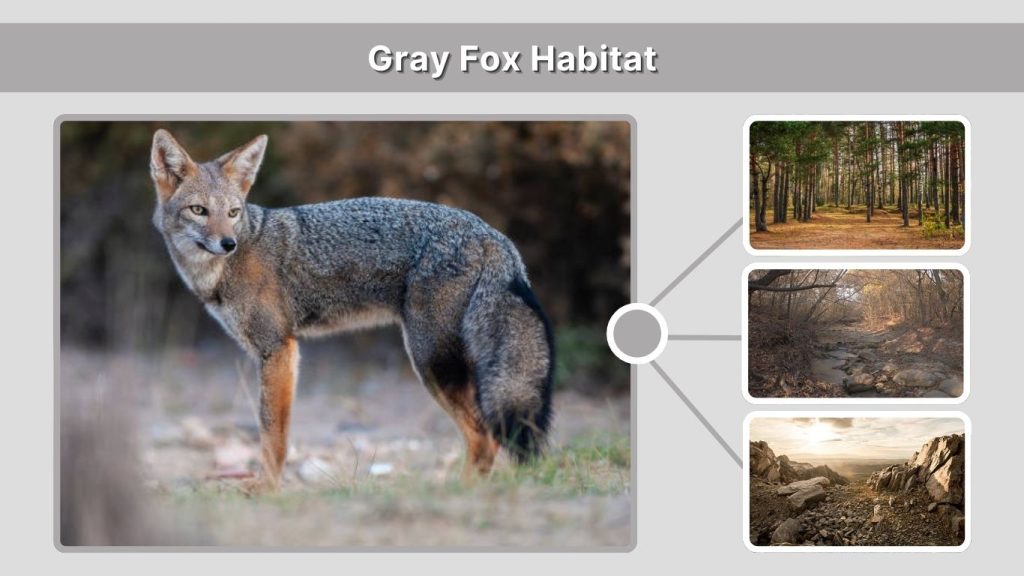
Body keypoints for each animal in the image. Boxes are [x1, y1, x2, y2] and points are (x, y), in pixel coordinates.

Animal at [149, 129, 554, 491]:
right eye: (199, 211)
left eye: (233, 212)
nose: (228, 243)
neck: (221, 271)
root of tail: (493, 235)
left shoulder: (278, 348)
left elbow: (272, 431)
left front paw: (267, 488)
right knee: (485, 438)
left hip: (430, 362)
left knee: (484, 437)